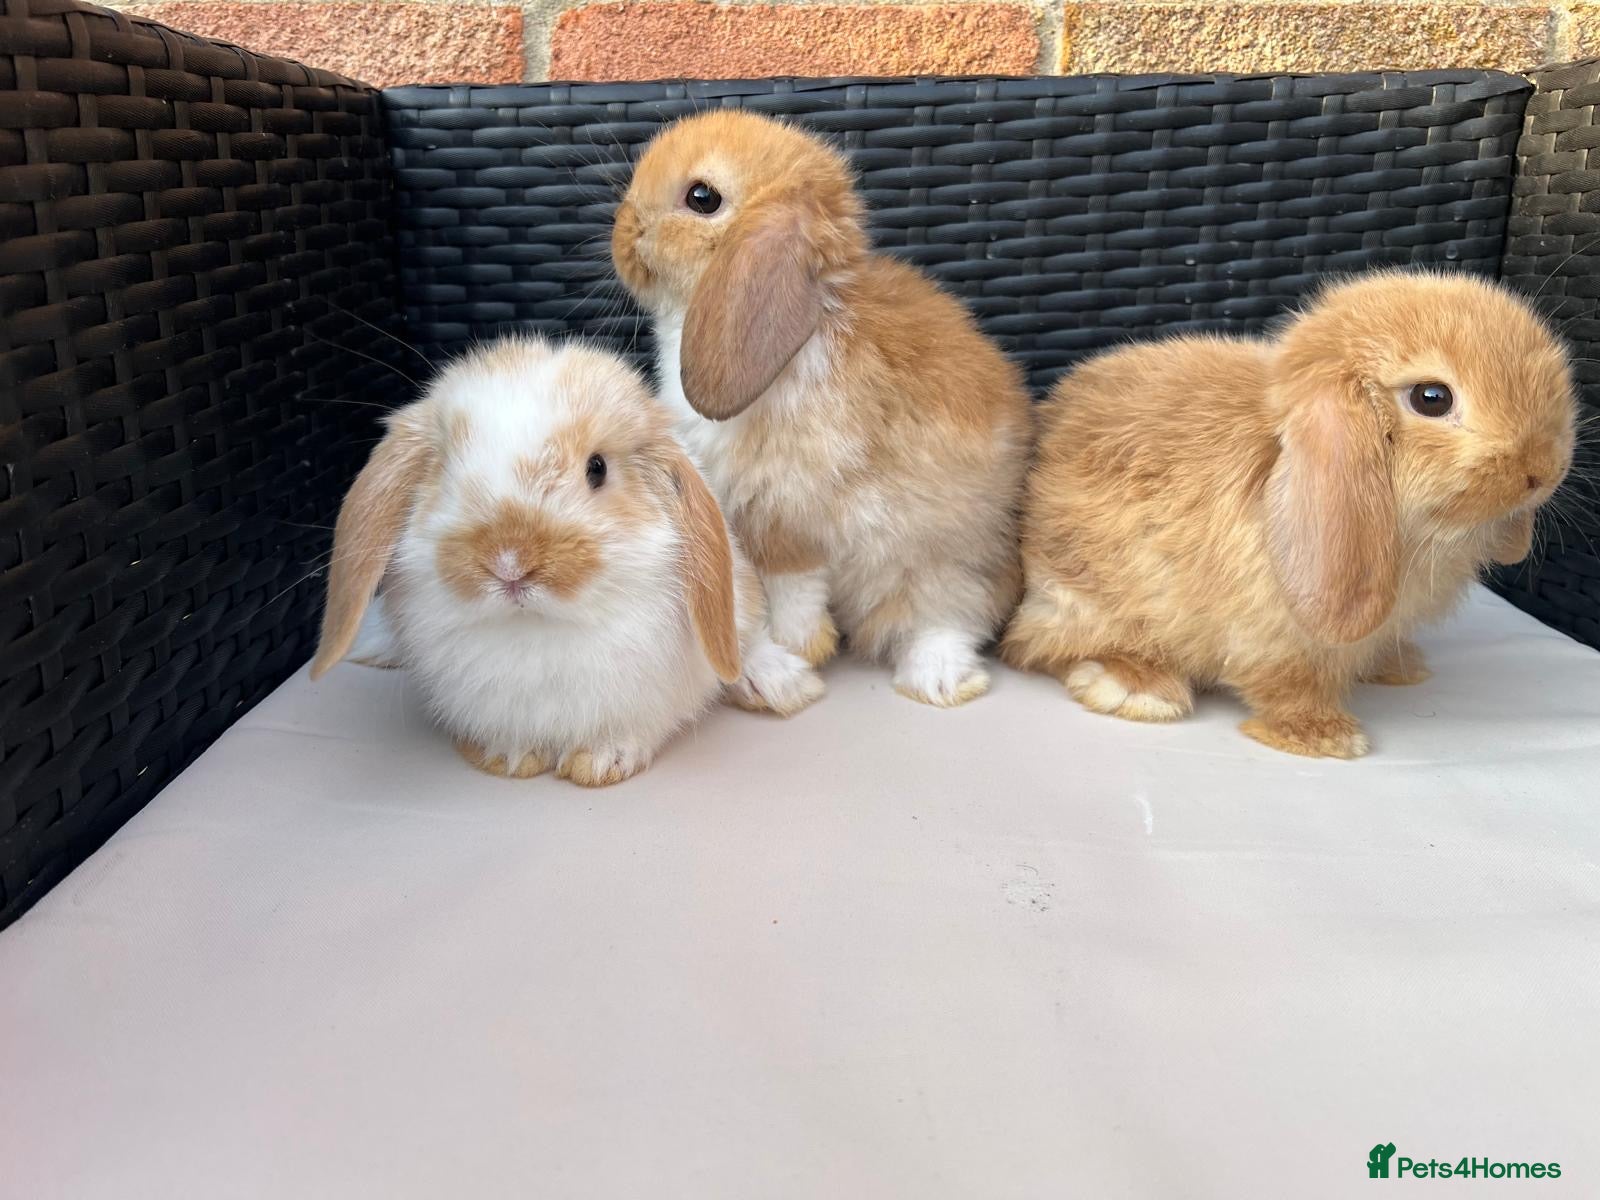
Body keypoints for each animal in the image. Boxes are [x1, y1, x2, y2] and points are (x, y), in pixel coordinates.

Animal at [310, 336, 824, 786]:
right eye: (446, 468)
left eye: (597, 468)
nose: (510, 562)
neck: (537, 627)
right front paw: (510, 758)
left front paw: (600, 762)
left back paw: (779, 683)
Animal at [611, 110, 1032, 708]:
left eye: (702, 197)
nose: (623, 230)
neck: (817, 318)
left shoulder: (784, 513)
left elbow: (794, 585)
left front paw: (799, 647)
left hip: (950, 563)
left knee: (948, 621)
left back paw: (936, 681)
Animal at [1000, 270, 1577, 758]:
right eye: (1431, 398)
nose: (1543, 471)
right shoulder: (1273, 636)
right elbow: (1285, 684)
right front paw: (1326, 738)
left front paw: (1397, 667)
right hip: (1082, 597)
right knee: (1039, 644)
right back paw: (1137, 687)